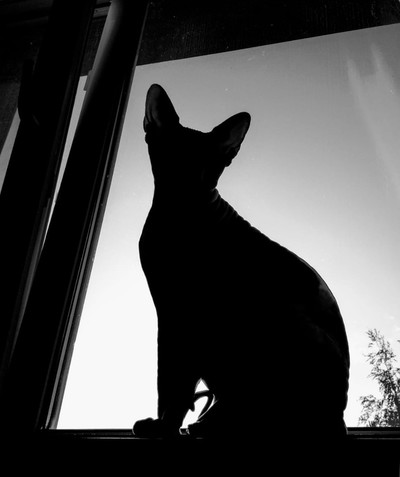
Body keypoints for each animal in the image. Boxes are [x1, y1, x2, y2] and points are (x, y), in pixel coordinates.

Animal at [133, 84, 350, 440]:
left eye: (209, 163)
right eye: (173, 152)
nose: (189, 176)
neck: (176, 214)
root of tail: (339, 422)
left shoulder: (181, 315)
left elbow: (172, 382)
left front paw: (164, 427)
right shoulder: (171, 313)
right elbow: (169, 380)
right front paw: (166, 424)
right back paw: (209, 422)